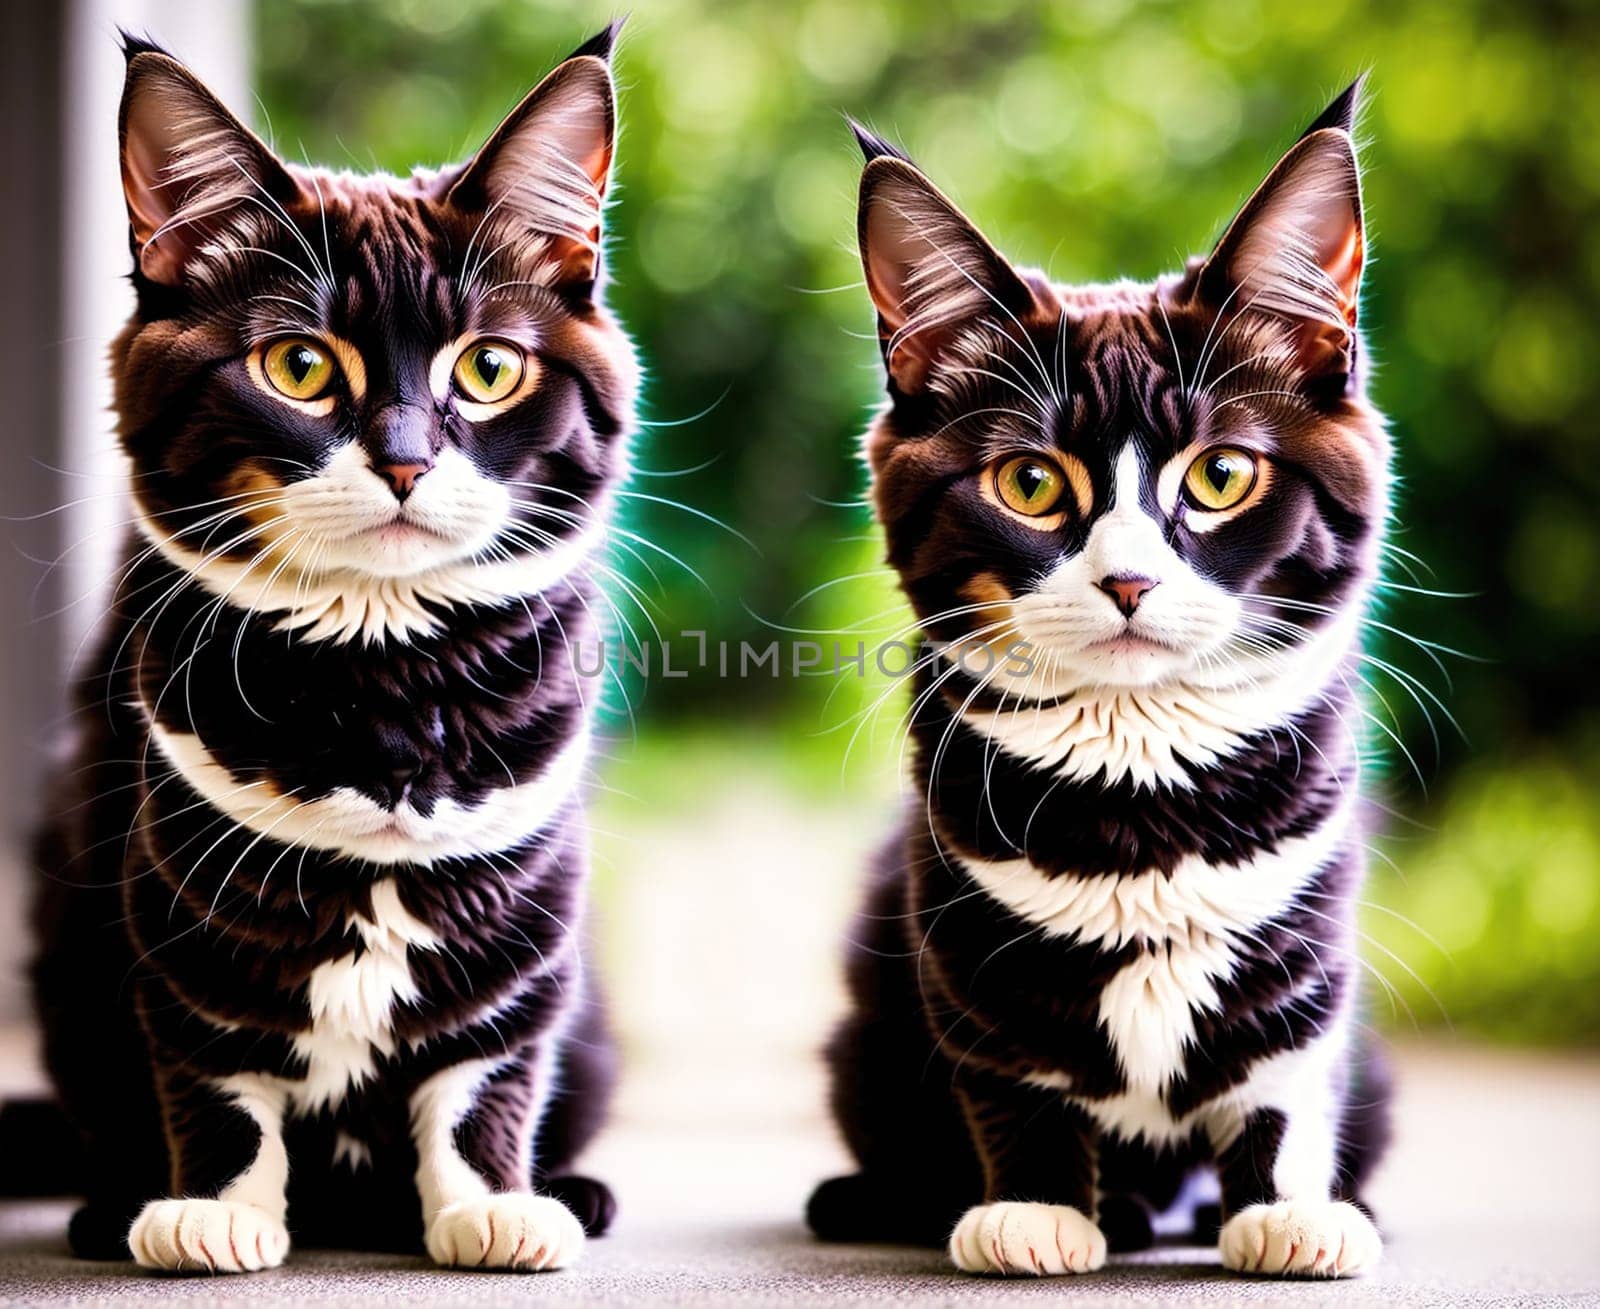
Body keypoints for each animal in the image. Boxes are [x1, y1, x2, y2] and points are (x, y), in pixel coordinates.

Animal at [25, 23, 633, 1273]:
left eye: (488, 368)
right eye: (299, 368)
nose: (403, 459)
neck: (385, 664)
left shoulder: (526, 881)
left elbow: (487, 1047)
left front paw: (490, 1199)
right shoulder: (176, 861)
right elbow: (212, 1047)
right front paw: (217, 1205)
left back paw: (572, 1186)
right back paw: (114, 1203)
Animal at [806, 81, 1395, 1273]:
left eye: (1221, 474)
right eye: (1030, 483)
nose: (1128, 579)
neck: (1141, 779)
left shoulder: (1312, 895)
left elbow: (1288, 1054)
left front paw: (1286, 1207)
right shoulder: (956, 895)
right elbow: (1006, 1050)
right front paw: (1037, 1205)